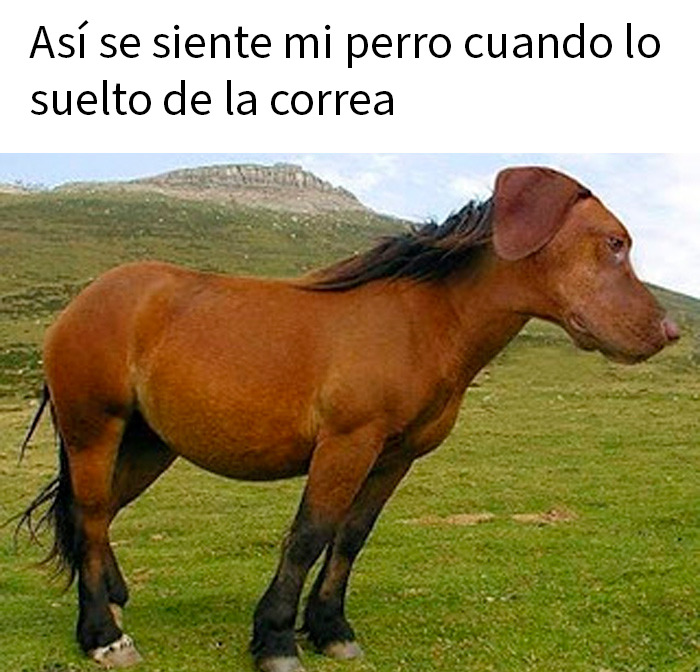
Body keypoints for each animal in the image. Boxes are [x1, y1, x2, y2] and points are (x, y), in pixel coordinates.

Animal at [18, 166, 679, 671]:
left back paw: (111, 606)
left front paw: (330, 627)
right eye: (614, 243)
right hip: (94, 430)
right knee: (92, 513)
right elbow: (310, 534)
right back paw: (104, 636)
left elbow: (352, 536)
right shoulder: (346, 444)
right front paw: (276, 638)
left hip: (149, 444)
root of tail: (84, 301)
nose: (669, 331)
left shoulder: (394, 457)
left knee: (95, 517)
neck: (421, 323)